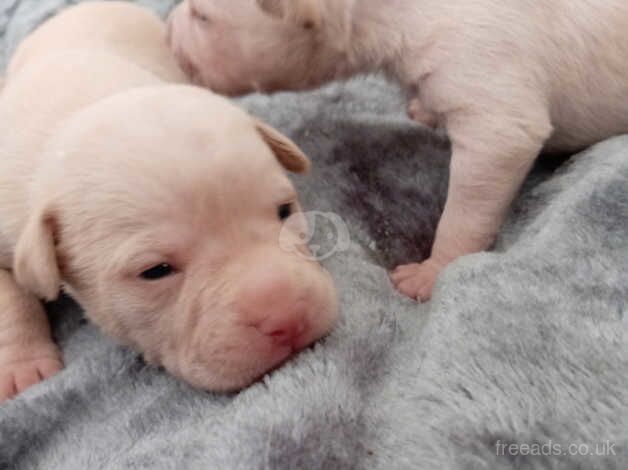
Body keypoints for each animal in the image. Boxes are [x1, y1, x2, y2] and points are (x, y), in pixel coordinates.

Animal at [167, 0, 628, 302]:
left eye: (203, 16)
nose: (166, 30)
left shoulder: (488, 79)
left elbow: (477, 188)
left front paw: (432, 273)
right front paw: (426, 108)